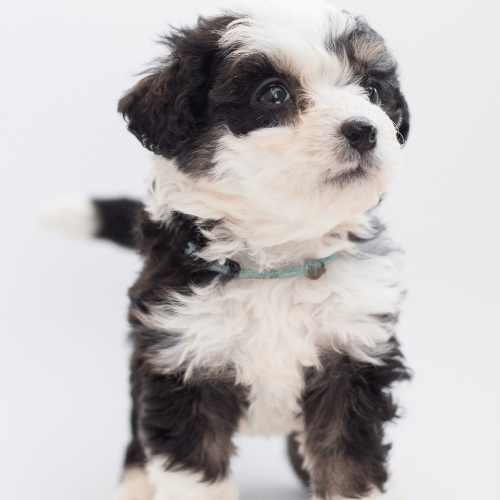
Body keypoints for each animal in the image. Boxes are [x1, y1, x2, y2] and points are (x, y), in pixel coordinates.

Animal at [41, 0, 412, 500]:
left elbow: (347, 465)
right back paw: (134, 481)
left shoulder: (353, 355)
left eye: (372, 90)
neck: (277, 261)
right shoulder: (182, 357)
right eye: (273, 95)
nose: (364, 130)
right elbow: (193, 467)